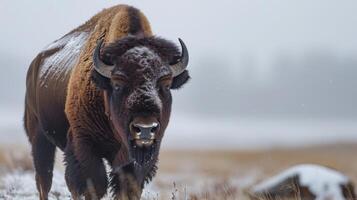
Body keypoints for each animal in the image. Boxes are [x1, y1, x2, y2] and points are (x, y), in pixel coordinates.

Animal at [24, 4, 191, 198]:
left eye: (166, 84)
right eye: (117, 83)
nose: (145, 128)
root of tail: (34, 64)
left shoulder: (139, 159)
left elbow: (128, 188)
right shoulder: (85, 145)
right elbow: (94, 185)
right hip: (39, 136)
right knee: (45, 179)